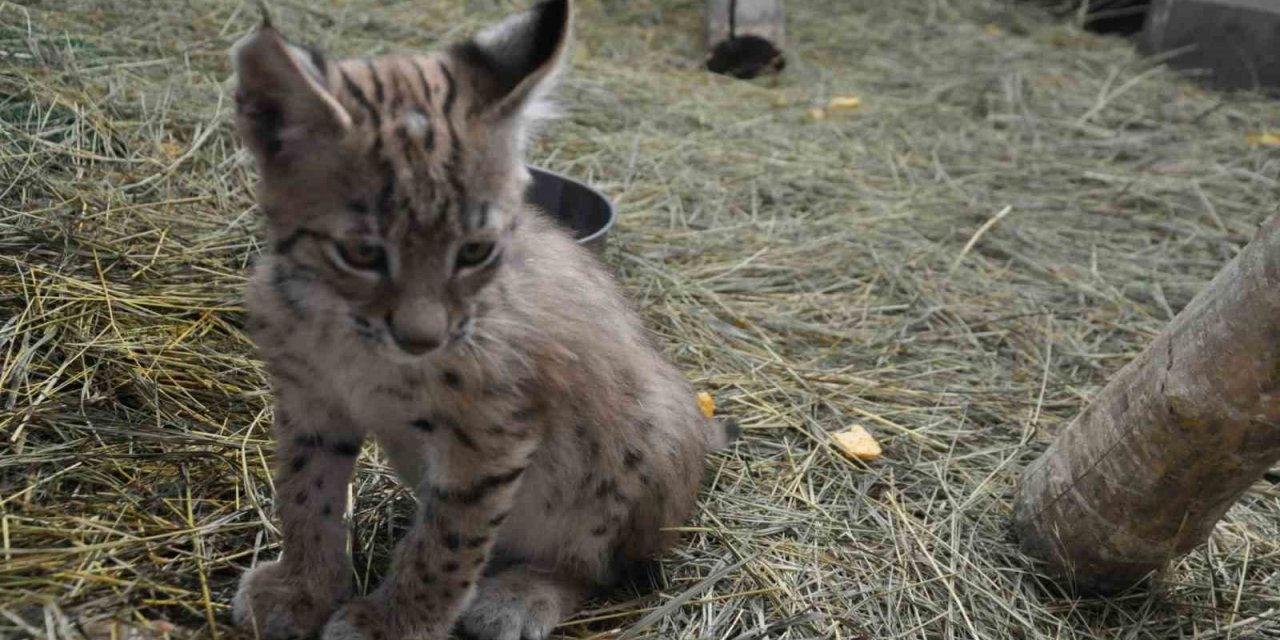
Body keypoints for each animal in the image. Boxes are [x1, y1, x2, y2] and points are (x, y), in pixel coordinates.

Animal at [227, 1, 732, 640]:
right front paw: (302, 589)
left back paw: (523, 594)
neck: (346, 333)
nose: (423, 339)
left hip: (645, 436)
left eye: (474, 251)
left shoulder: (489, 439)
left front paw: (394, 623)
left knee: (602, 568)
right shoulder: (310, 402)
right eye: (362, 253)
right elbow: (304, 499)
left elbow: (446, 544)